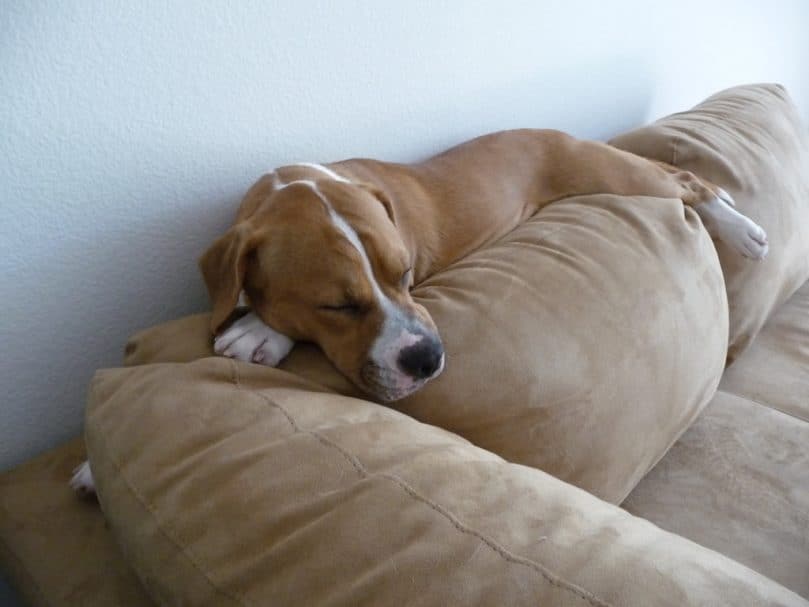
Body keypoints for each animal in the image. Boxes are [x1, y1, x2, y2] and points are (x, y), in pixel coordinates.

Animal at [71, 127, 772, 494]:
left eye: (406, 272)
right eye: (337, 304)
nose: (428, 358)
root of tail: (556, 131)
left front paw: (258, 334)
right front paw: (94, 469)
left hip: (619, 177)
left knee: (689, 183)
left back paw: (742, 230)